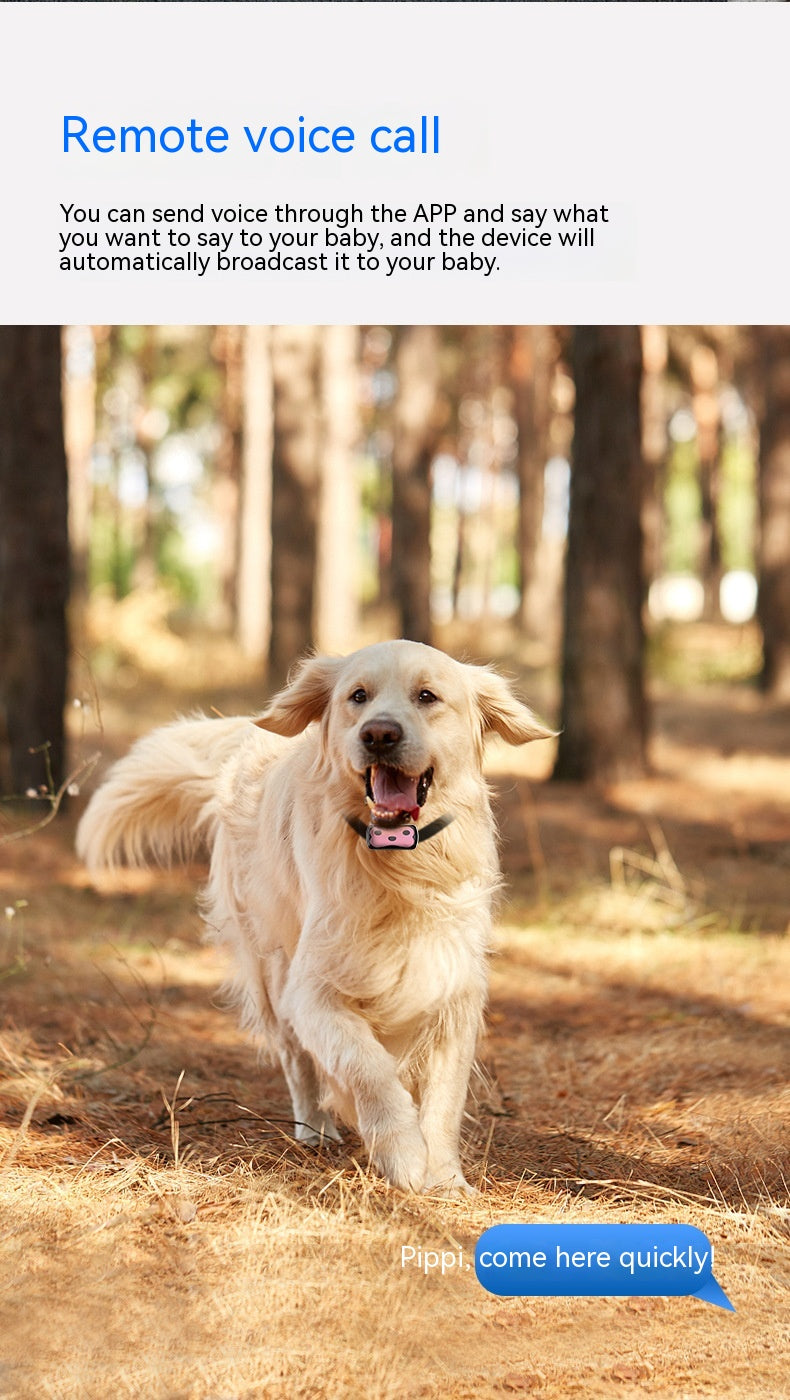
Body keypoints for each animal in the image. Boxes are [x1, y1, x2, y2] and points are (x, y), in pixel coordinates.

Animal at [77, 644, 551, 1192]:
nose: (379, 734)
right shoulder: (312, 990)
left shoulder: (453, 989)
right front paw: (403, 1154)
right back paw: (315, 1129)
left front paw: (445, 1177)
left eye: (427, 696)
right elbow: (367, 1066)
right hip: (271, 968)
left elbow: (444, 1100)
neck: (398, 868)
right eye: (357, 696)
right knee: (295, 1058)